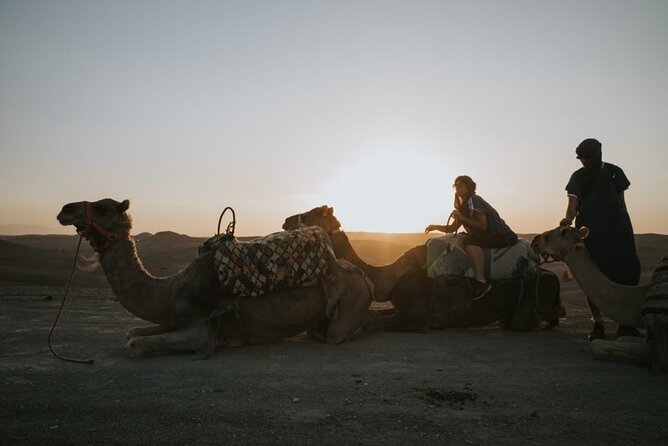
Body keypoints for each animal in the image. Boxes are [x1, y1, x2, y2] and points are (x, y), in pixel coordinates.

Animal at [57, 199, 373, 357]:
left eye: (102, 208)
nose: (65, 209)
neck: (169, 291)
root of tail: (364, 278)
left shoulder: (201, 329)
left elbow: (133, 343)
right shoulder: (175, 318)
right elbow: (131, 332)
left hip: (348, 307)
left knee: (336, 334)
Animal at [283, 206, 563, 332]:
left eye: (312, 213)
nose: (286, 220)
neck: (389, 277)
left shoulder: (419, 319)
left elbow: (380, 321)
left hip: (526, 310)